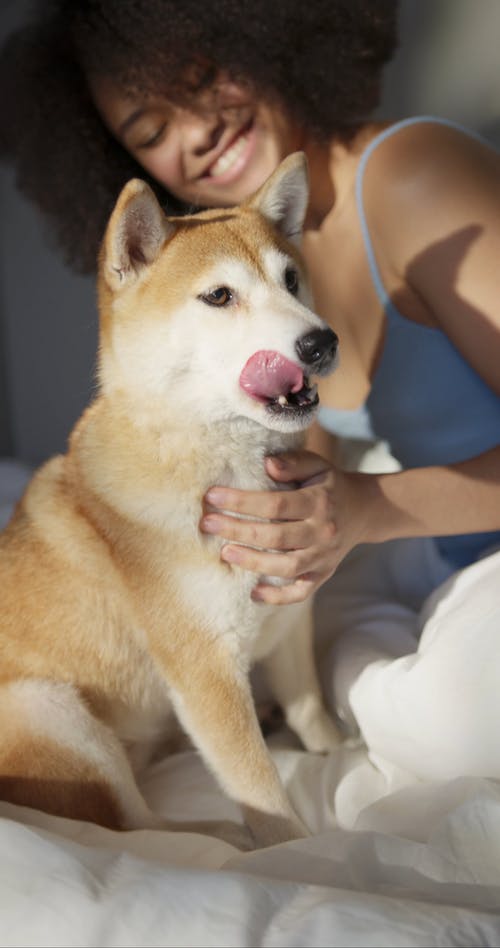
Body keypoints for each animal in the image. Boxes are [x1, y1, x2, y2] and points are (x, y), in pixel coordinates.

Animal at [0, 156, 340, 852]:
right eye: (219, 296)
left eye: (292, 279)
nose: (321, 343)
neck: (220, 462)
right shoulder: (206, 673)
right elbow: (263, 794)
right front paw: (303, 851)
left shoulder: (290, 618)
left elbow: (312, 712)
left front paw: (341, 752)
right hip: (50, 712)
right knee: (133, 830)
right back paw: (220, 836)